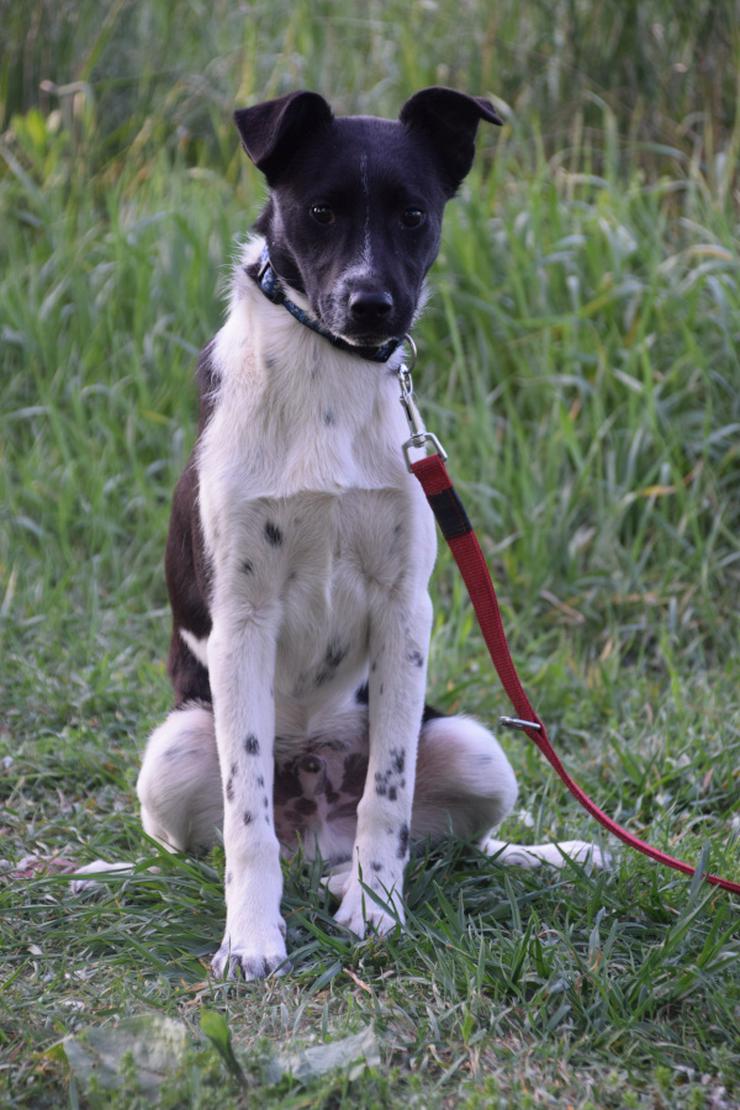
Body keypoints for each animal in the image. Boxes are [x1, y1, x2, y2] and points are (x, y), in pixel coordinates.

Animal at [134, 88, 607, 981]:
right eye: (319, 211)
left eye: (414, 214)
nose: (372, 306)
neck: (329, 380)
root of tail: (316, 827)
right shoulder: (242, 620)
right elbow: (246, 816)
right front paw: (251, 940)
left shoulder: (404, 611)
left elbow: (388, 798)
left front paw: (378, 910)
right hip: (173, 750)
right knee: (237, 837)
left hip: (473, 746)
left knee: (448, 844)